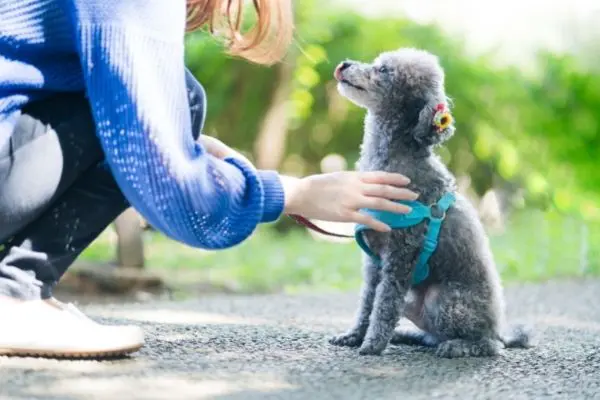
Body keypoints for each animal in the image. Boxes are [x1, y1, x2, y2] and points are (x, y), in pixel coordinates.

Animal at [330, 48, 532, 358]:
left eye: (384, 70)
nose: (344, 64)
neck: (395, 159)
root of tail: (500, 329)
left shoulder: (401, 255)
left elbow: (384, 305)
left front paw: (373, 344)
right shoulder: (374, 262)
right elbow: (367, 302)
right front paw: (354, 335)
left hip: (445, 300)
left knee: (489, 345)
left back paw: (457, 346)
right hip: (415, 300)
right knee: (431, 335)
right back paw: (407, 336)